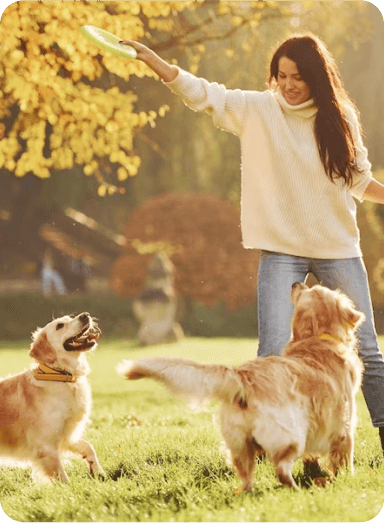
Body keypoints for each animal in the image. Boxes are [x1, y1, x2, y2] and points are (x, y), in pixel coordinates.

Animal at [0, 312, 105, 484]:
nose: (85, 315)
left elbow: (89, 447)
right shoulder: (46, 446)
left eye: (70, 317)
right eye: (60, 325)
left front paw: (98, 471)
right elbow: (62, 478)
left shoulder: (66, 435)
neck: (61, 376)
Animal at [118, 284, 364, 494]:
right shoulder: (344, 428)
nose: (296, 283)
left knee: (246, 478)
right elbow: (345, 460)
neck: (319, 338)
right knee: (281, 469)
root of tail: (243, 375)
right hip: (291, 438)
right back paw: (297, 491)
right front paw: (348, 480)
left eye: (308, 289)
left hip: (239, 445)